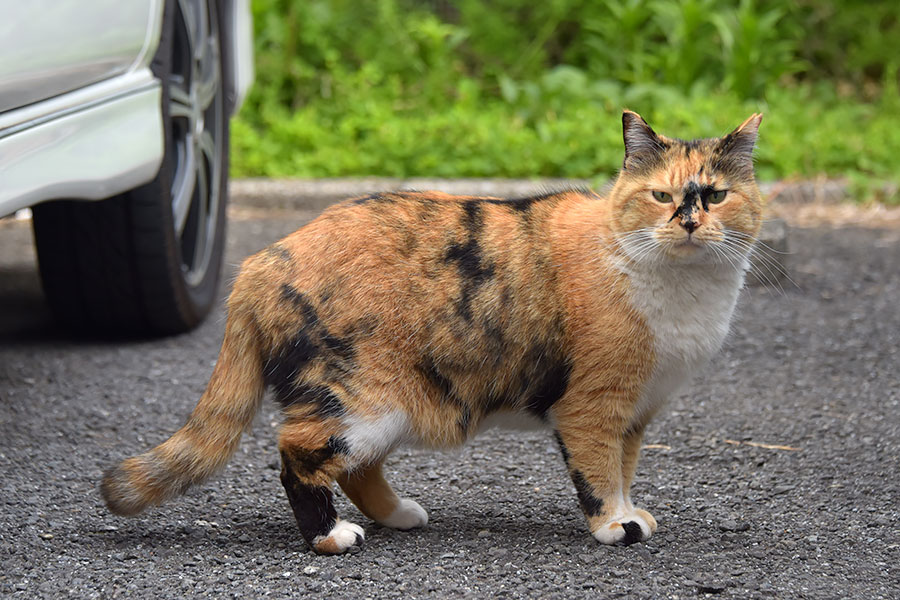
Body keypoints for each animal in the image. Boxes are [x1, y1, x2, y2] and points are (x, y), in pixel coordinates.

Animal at [102, 111, 764, 552]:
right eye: (660, 195)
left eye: (716, 195)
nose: (687, 222)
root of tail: (265, 259)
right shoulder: (595, 406)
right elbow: (599, 473)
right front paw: (613, 527)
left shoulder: (637, 412)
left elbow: (624, 469)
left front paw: (631, 512)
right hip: (357, 397)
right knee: (296, 452)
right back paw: (332, 536)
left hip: (388, 406)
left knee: (357, 467)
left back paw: (398, 515)